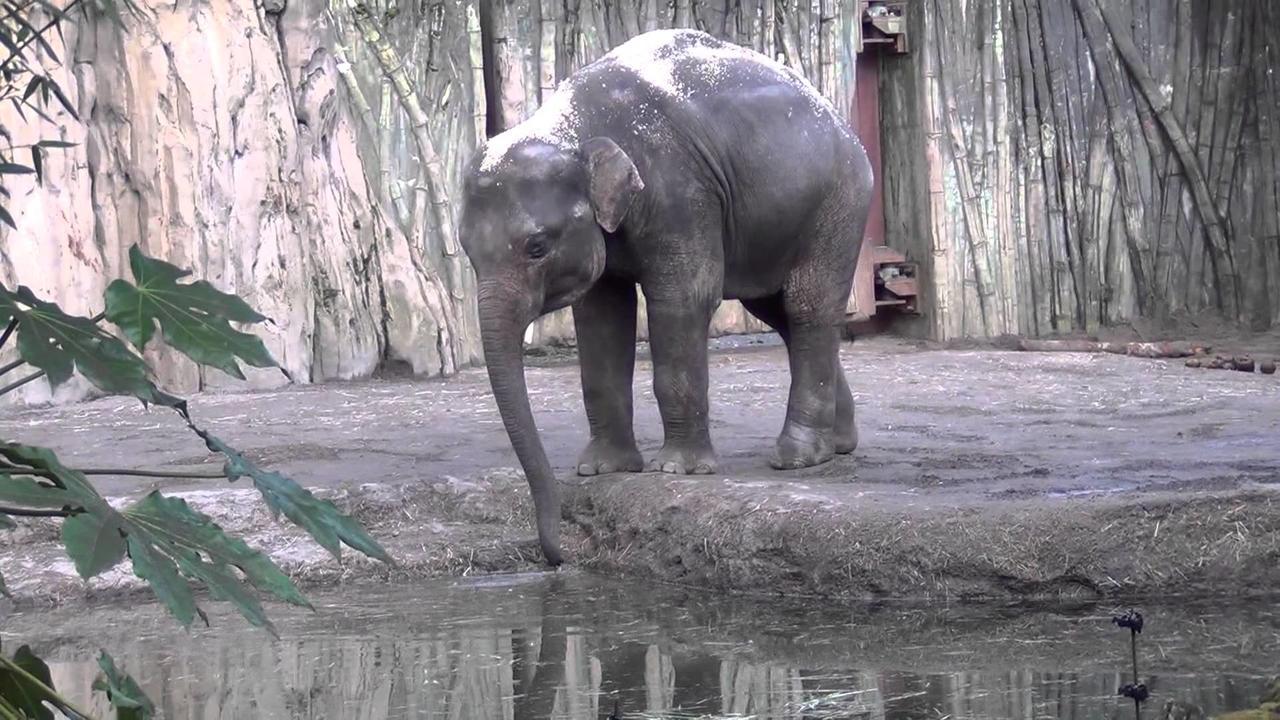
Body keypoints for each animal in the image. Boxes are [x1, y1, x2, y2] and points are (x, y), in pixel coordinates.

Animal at [465, 29, 875, 566]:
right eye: (466, 252)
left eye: (537, 247)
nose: (559, 557)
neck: (572, 128)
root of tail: (842, 124)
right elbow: (600, 316)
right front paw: (603, 471)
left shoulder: (679, 192)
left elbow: (684, 298)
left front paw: (678, 472)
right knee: (780, 313)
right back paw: (839, 444)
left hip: (839, 204)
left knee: (808, 307)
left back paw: (797, 457)